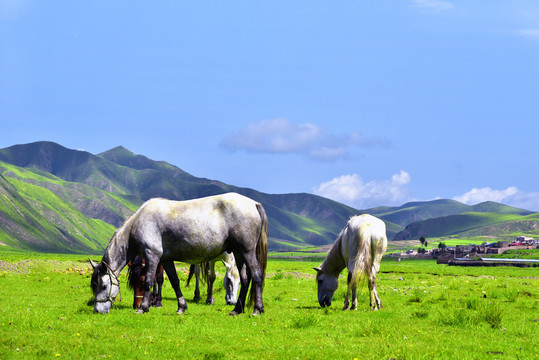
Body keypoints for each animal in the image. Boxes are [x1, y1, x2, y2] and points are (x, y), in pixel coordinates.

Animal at [93, 194, 272, 316]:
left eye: (104, 286)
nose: (97, 310)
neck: (139, 222)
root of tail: (254, 203)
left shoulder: (152, 256)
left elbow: (150, 281)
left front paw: (143, 308)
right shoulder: (166, 260)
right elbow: (174, 281)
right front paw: (181, 307)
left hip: (247, 252)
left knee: (256, 275)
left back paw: (257, 309)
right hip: (238, 253)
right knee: (245, 279)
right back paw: (237, 309)